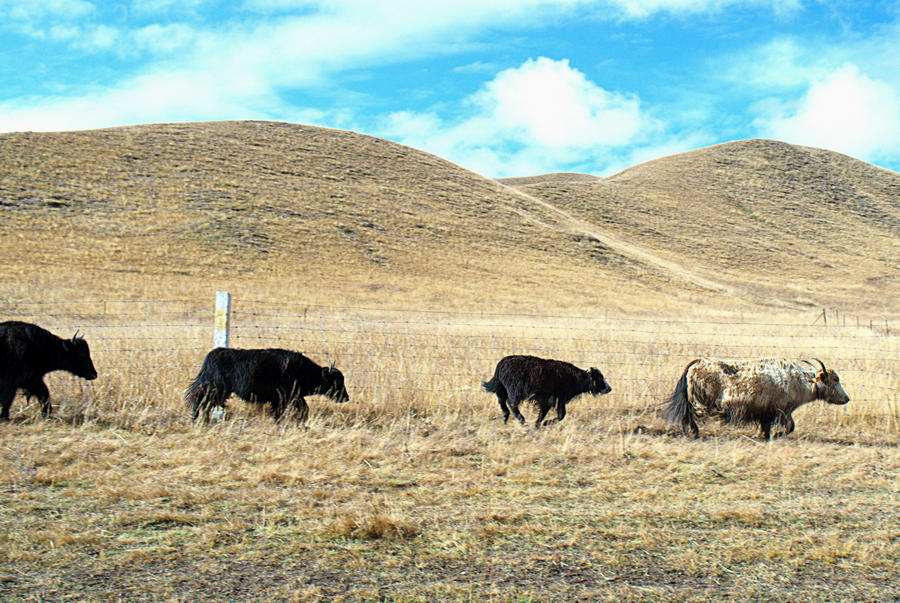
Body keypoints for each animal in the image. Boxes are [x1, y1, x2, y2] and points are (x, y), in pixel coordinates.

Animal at [185, 347, 349, 422]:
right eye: (337, 382)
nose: (346, 398)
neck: (302, 370)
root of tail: (211, 356)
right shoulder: (286, 396)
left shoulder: (292, 397)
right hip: (213, 390)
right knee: (199, 402)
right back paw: (195, 419)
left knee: (205, 404)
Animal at [482, 355, 612, 429]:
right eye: (599, 378)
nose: (609, 388)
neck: (575, 378)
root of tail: (500, 364)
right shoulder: (557, 397)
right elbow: (561, 415)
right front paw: (545, 423)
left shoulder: (550, 399)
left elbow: (547, 413)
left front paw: (538, 424)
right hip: (516, 390)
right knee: (511, 403)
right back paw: (521, 420)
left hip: (503, 388)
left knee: (502, 401)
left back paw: (506, 417)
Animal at [662, 357, 849, 439]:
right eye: (835, 380)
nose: (846, 398)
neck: (800, 381)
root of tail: (696, 363)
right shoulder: (782, 410)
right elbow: (790, 426)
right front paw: (777, 434)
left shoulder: (767, 412)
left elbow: (766, 425)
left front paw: (762, 435)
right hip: (699, 402)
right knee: (691, 414)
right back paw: (693, 432)